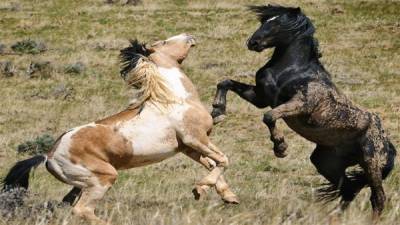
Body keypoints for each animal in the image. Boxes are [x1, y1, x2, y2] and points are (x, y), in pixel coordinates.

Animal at [3, 33, 239, 223]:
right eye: (164, 41)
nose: (189, 36)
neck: (174, 99)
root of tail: (49, 155)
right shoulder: (195, 139)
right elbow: (223, 160)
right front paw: (200, 189)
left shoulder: (187, 147)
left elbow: (212, 164)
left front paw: (227, 196)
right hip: (103, 178)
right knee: (82, 210)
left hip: (81, 184)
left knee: (70, 205)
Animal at [211, 3, 396, 218]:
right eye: (265, 20)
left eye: (279, 23)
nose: (252, 42)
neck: (294, 71)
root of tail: (389, 146)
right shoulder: (261, 97)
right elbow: (225, 82)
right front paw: (217, 112)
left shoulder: (300, 104)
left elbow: (269, 116)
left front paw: (280, 147)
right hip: (326, 163)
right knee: (348, 190)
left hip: (371, 164)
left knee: (378, 199)